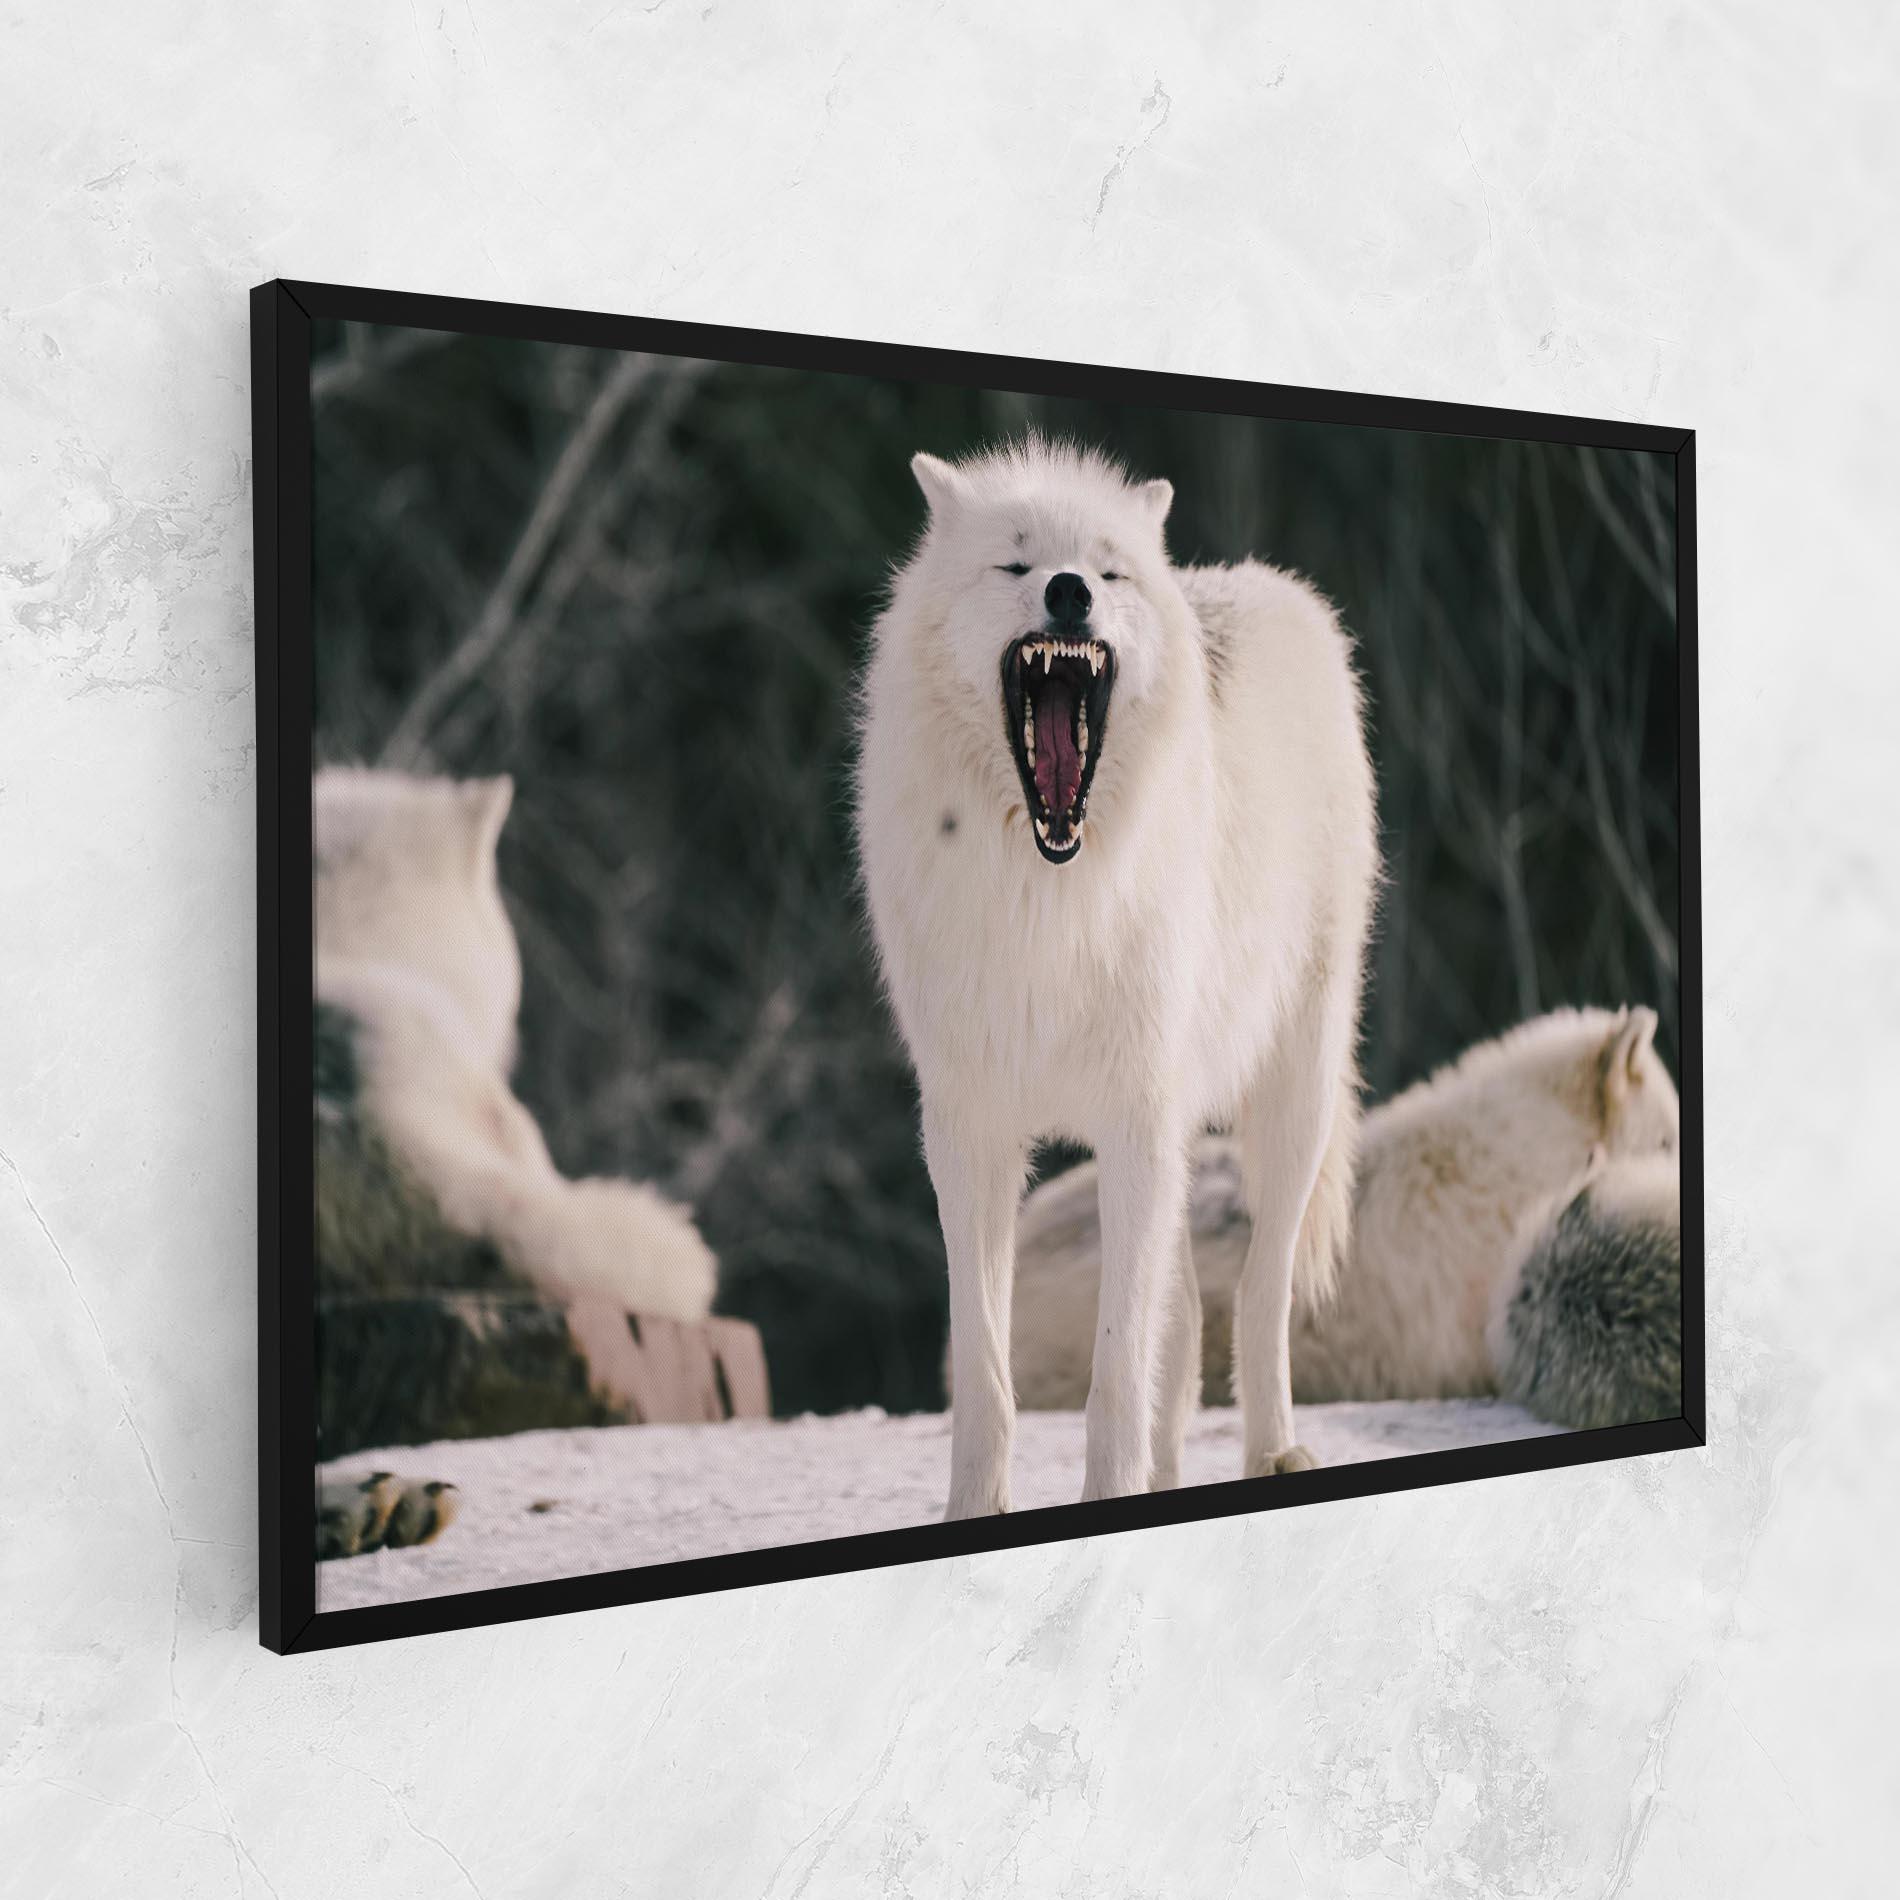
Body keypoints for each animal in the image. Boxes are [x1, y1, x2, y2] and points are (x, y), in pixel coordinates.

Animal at [856, 440, 1377, 1515]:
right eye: (1016, 563)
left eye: (1107, 571)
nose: (1068, 593)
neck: (1048, 894)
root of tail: (1265, 584)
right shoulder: (969, 1134)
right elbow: (987, 1372)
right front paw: (974, 1509)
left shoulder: (1133, 1121)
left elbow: (1114, 1370)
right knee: (1184, 1330)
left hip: (1292, 1098)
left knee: (1257, 1300)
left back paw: (1276, 1453)